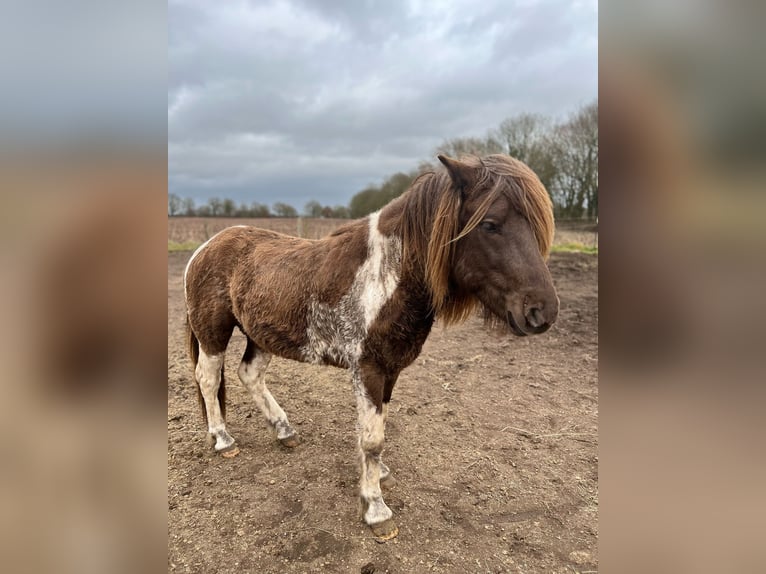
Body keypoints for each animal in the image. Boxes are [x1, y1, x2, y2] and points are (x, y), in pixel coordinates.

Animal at [184, 154, 559, 541]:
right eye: (490, 224)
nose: (542, 312)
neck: (385, 277)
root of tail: (206, 247)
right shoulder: (369, 369)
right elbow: (372, 439)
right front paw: (376, 509)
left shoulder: (390, 370)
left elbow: (379, 428)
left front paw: (378, 476)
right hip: (213, 332)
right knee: (208, 379)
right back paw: (223, 438)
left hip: (260, 335)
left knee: (250, 375)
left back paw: (284, 431)